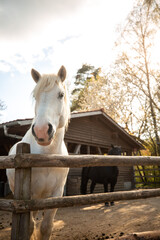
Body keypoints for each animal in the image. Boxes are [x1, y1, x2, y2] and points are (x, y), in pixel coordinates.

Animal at [6, 65, 70, 240]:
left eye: (61, 95)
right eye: (35, 96)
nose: (41, 131)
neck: (47, 157)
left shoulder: (56, 194)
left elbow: (46, 227)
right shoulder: (28, 198)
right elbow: (29, 227)